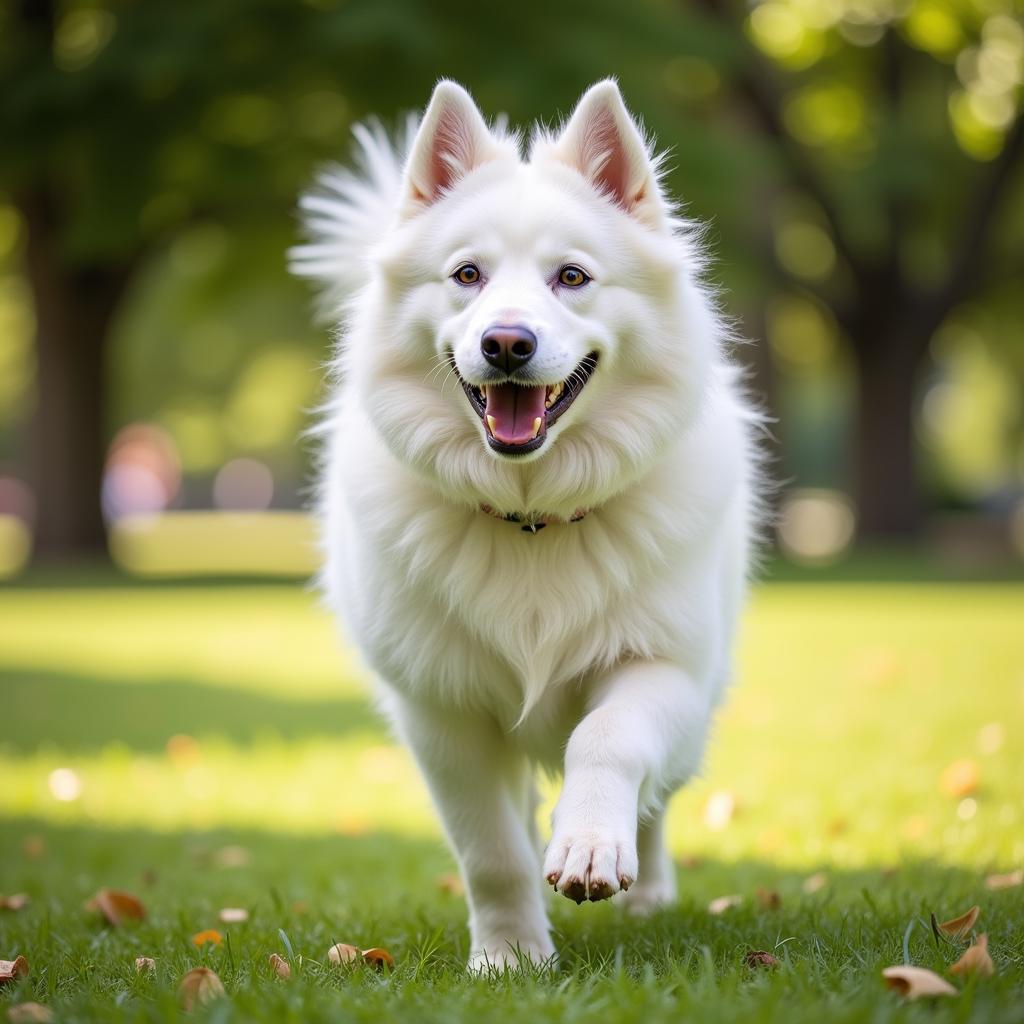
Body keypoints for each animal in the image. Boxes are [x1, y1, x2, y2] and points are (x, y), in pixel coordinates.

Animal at [292, 77, 765, 966]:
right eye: (467, 275)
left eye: (571, 277)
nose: (506, 343)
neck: (531, 515)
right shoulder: (443, 717)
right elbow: (491, 850)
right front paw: (510, 957)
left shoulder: (664, 667)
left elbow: (606, 742)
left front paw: (590, 847)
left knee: (656, 800)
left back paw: (646, 890)